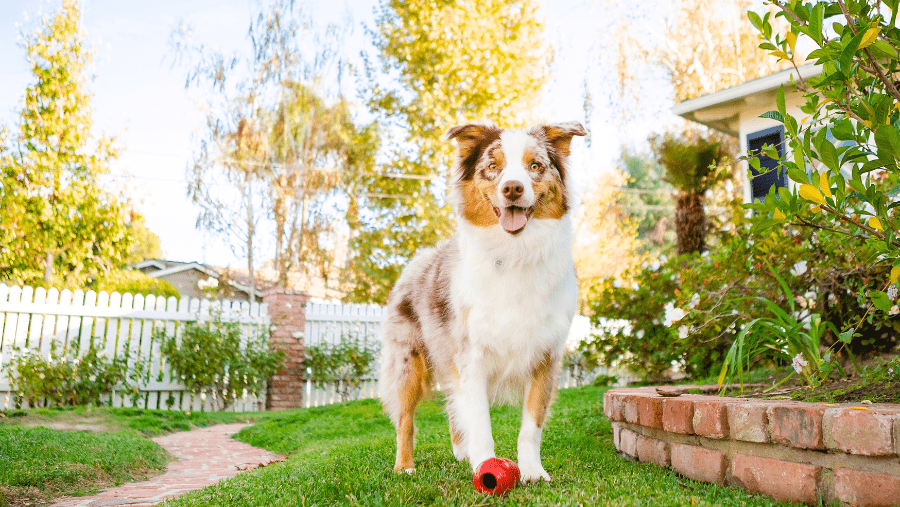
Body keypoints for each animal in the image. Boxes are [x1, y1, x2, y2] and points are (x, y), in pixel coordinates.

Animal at [378, 121, 584, 482]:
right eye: (492, 166)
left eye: (535, 166)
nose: (513, 188)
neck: (514, 253)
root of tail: (418, 259)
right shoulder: (471, 357)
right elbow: (481, 422)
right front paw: (486, 466)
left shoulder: (545, 356)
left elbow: (530, 426)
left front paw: (532, 471)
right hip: (407, 363)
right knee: (405, 420)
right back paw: (405, 466)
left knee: (451, 406)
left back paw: (461, 452)